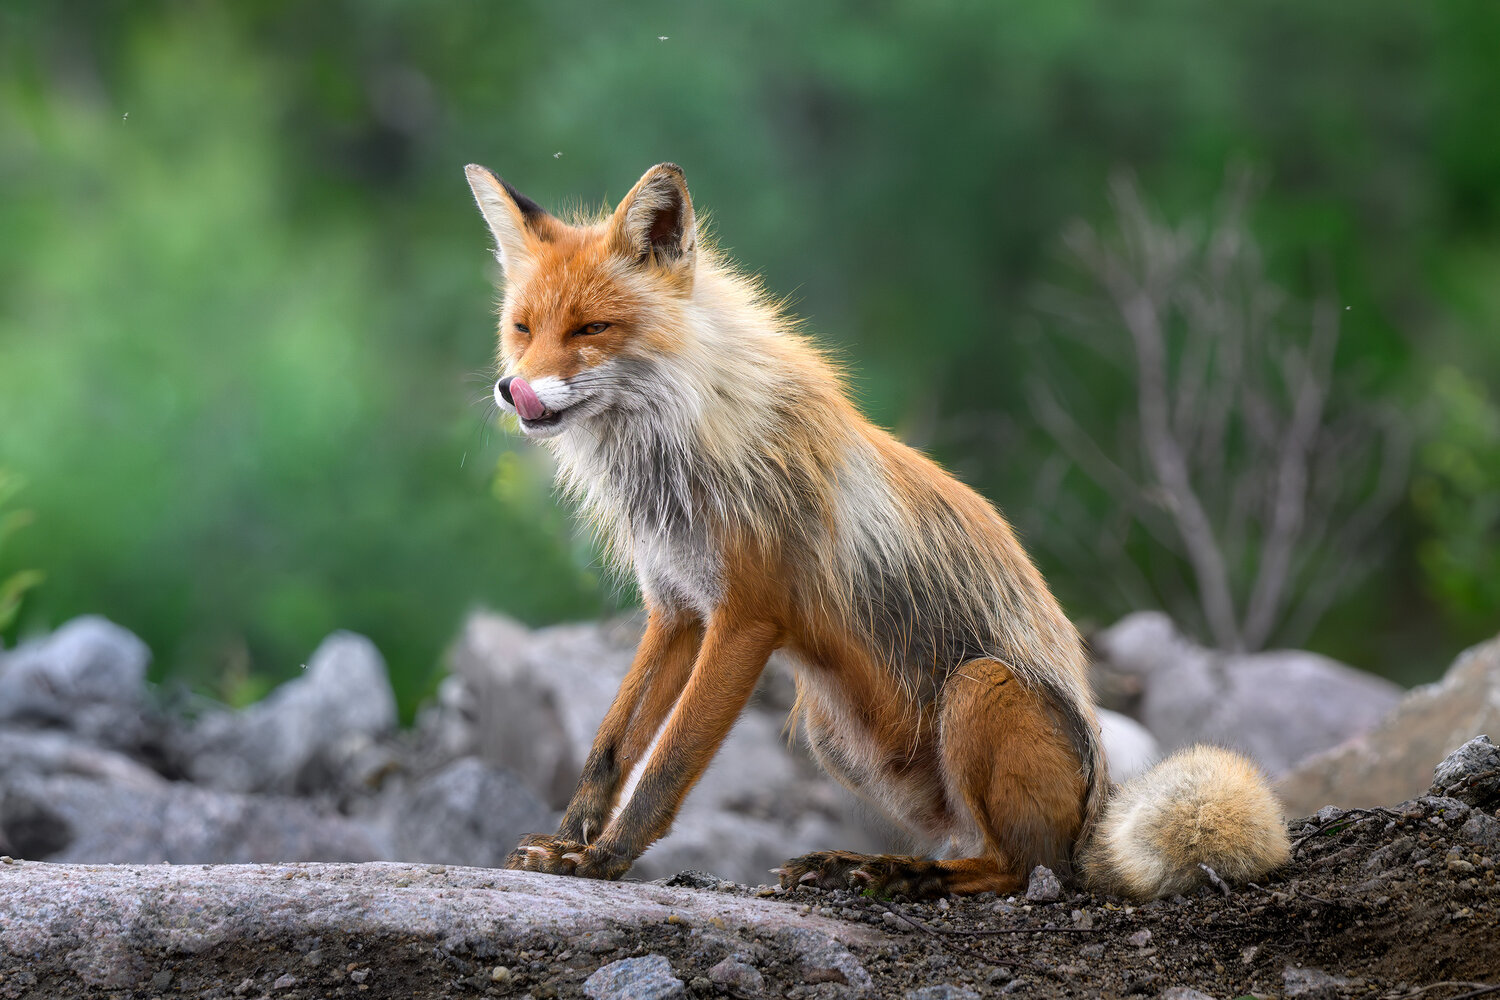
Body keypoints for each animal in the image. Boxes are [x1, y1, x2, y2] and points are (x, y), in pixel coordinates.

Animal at [464, 161, 1291, 899]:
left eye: (592, 328)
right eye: (522, 328)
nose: (513, 389)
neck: (683, 447)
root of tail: (1099, 809)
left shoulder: (745, 619)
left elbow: (667, 762)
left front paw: (604, 860)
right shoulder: (675, 610)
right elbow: (611, 747)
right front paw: (565, 842)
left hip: (978, 691)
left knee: (1021, 868)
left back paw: (903, 874)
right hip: (836, 738)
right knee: (974, 844)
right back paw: (851, 863)